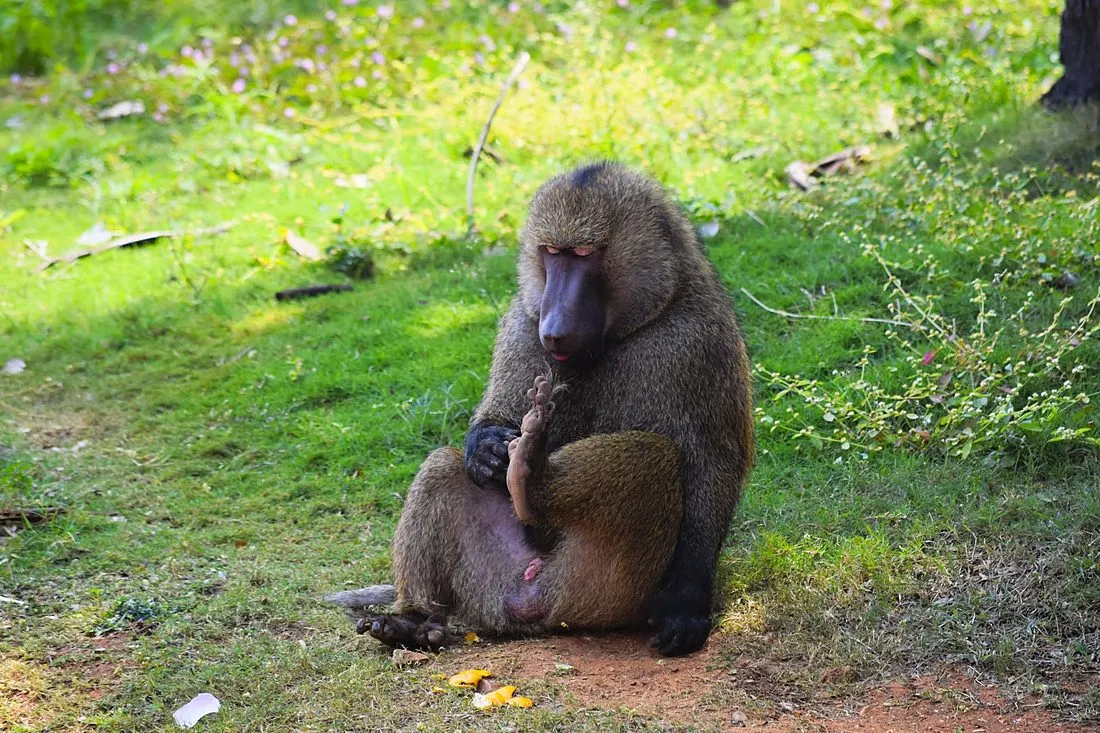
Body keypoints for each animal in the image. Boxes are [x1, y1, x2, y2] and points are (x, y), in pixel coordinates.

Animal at [328, 161, 754, 657]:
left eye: (585, 253)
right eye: (551, 252)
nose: (553, 327)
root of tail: (537, 604)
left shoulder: (699, 338)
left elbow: (711, 465)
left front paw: (686, 606)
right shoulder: (521, 321)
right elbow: (492, 420)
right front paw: (487, 447)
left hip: (604, 592)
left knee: (655, 455)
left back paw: (531, 474)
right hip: (493, 582)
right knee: (443, 466)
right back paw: (411, 621)